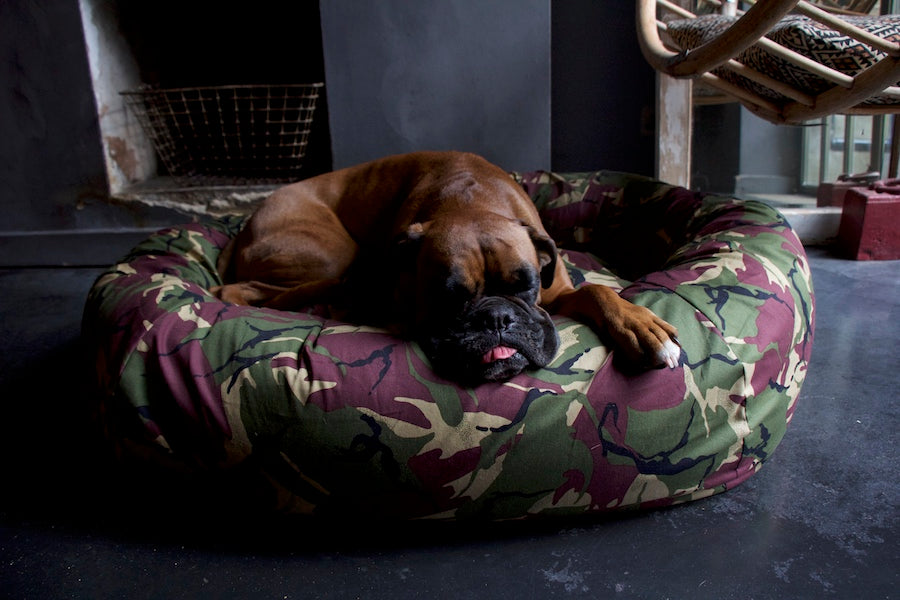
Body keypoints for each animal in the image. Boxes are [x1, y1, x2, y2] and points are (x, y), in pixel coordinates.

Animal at [211, 152, 680, 382]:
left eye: (526, 285)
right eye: (447, 297)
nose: (497, 318)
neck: (471, 201)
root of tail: (245, 225)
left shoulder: (559, 293)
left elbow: (596, 291)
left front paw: (641, 326)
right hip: (332, 255)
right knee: (237, 291)